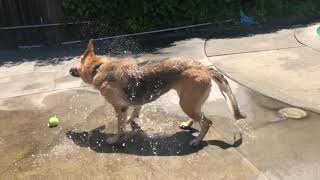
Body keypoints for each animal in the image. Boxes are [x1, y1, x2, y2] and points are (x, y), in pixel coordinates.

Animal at [70, 39, 245, 146]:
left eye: (77, 61)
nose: (69, 69)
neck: (99, 68)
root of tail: (203, 67)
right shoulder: (134, 103)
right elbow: (135, 111)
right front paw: (132, 121)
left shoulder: (120, 108)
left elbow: (120, 127)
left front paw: (115, 139)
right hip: (189, 102)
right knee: (199, 117)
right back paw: (188, 124)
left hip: (186, 103)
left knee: (206, 122)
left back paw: (196, 141)